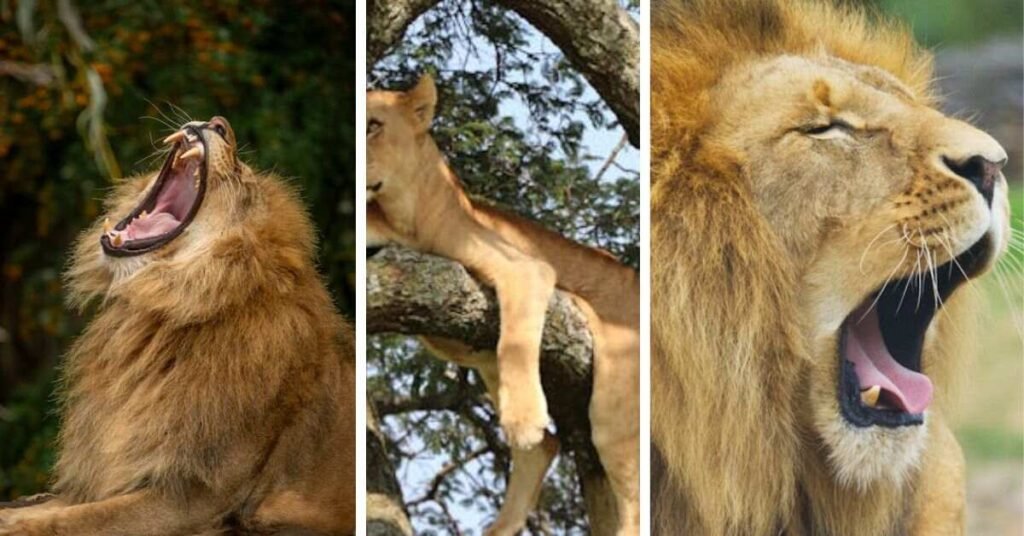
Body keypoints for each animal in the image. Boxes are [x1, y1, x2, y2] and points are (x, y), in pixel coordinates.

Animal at [0, 117, 356, 535]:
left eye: (242, 176)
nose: (218, 122)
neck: (164, 310)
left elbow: (79, 517)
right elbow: (55, 505)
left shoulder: (198, 499)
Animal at [367, 76, 640, 535]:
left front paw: (524, 420)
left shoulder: (527, 268)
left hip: (616, 399)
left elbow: (515, 341)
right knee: (546, 447)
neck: (404, 213)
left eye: (373, 125)